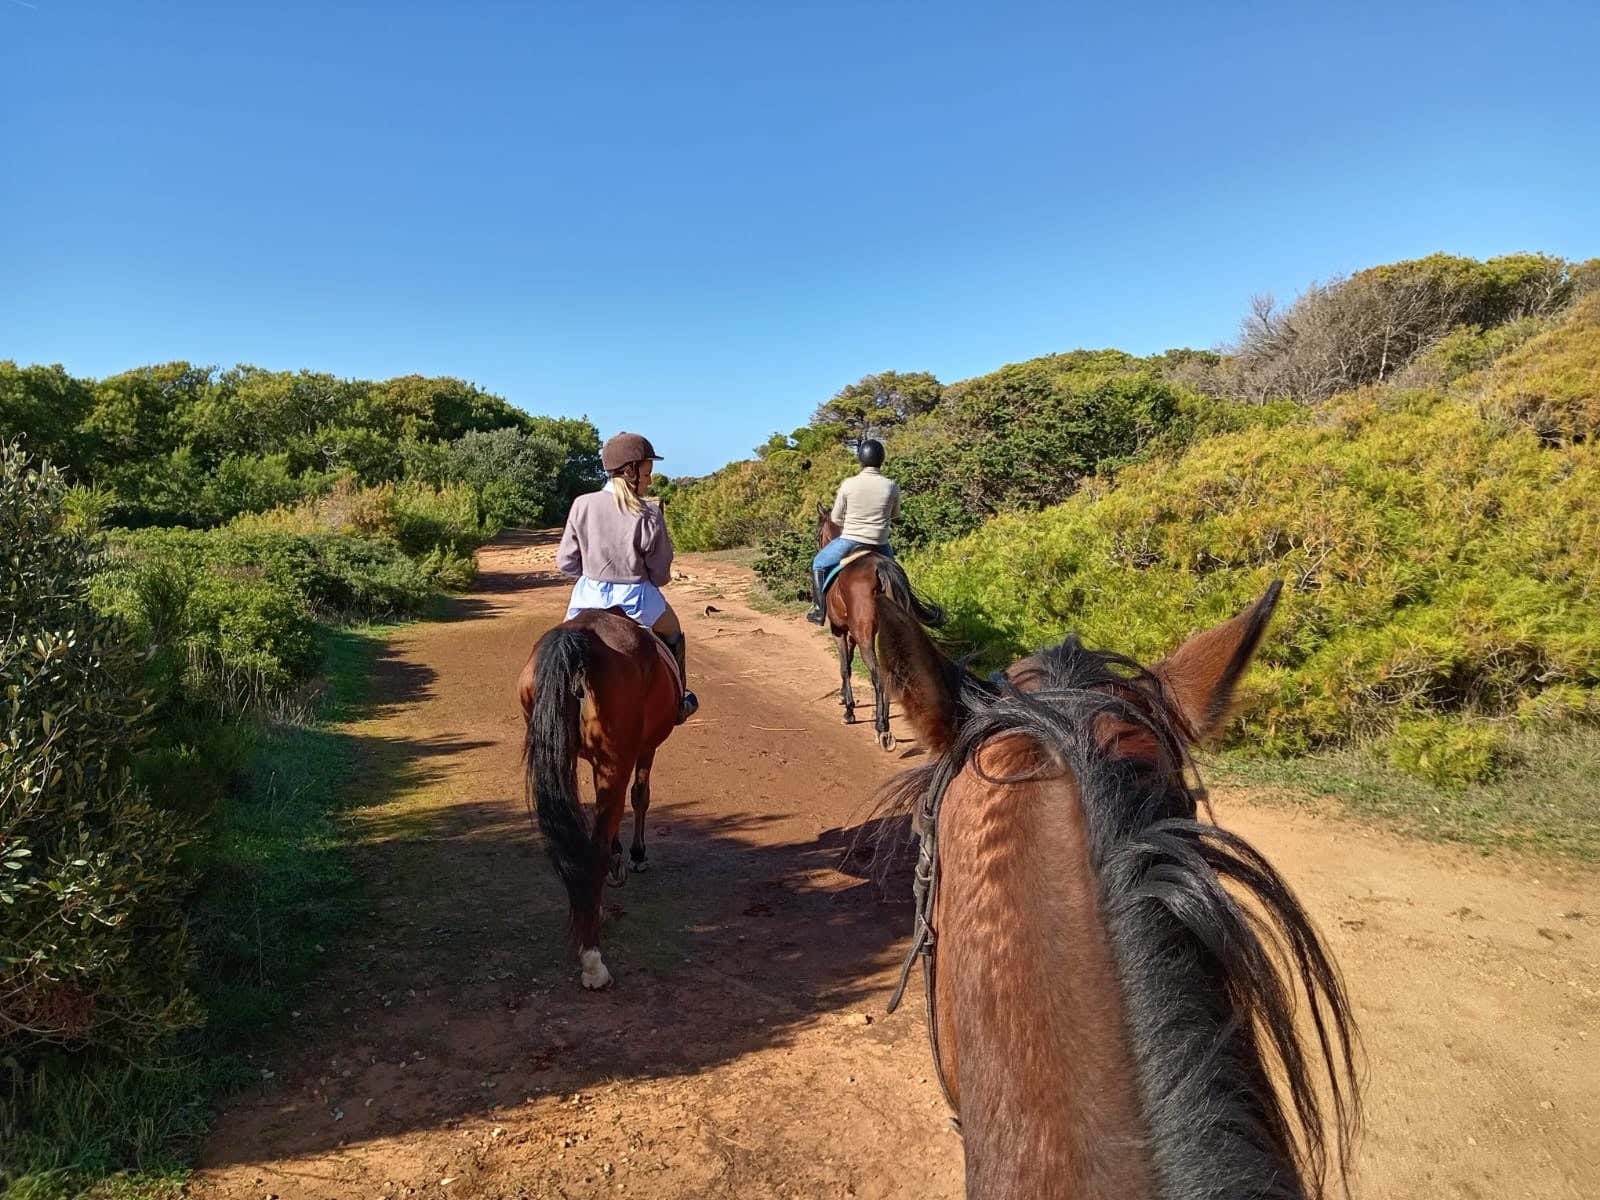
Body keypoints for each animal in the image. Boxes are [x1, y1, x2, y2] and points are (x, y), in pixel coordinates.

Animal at [518, 607, 681, 990]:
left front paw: (620, 855)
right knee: (595, 845)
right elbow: (640, 796)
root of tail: (579, 642)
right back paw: (593, 960)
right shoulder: (644, 749)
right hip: (615, 759)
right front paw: (635, 855)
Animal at [814, 503, 945, 750]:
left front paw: (849, 711)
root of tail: (881, 568)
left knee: (878, 675)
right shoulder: (852, 633)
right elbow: (849, 662)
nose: (819, 543)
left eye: (818, 533)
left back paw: (881, 728)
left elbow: (845, 666)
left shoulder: (839, 629)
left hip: (864, 635)